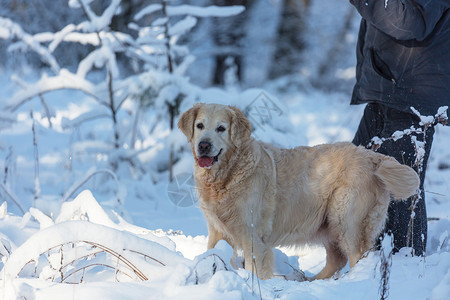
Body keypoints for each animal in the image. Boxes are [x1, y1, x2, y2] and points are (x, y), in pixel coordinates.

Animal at [178, 102, 420, 278]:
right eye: (200, 126)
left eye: (221, 128)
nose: (204, 145)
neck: (227, 173)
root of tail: (372, 156)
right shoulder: (217, 229)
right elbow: (212, 252)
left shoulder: (252, 233)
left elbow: (255, 267)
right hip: (330, 224)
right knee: (337, 259)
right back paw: (310, 281)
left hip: (346, 220)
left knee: (359, 257)